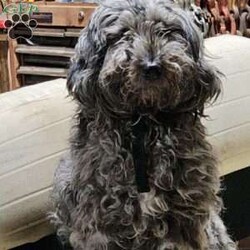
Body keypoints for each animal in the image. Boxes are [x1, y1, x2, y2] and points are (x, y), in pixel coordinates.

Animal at [50, 0, 236, 249]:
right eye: (123, 34)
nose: (152, 66)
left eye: (166, 31)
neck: (144, 122)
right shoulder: (99, 221)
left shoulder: (183, 219)